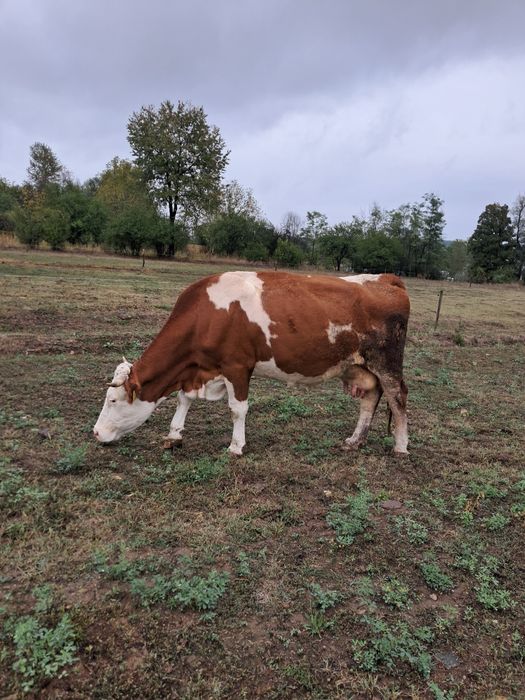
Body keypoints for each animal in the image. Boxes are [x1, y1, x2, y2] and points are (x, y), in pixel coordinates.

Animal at [93, 271, 410, 455]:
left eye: (112, 400)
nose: (95, 432)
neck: (207, 314)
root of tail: (387, 278)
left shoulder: (237, 366)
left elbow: (237, 409)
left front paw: (236, 446)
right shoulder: (200, 367)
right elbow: (184, 399)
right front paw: (174, 435)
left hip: (387, 361)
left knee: (398, 397)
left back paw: (400, 446)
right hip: (360, 365)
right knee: (370, 398)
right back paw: (355, 440)